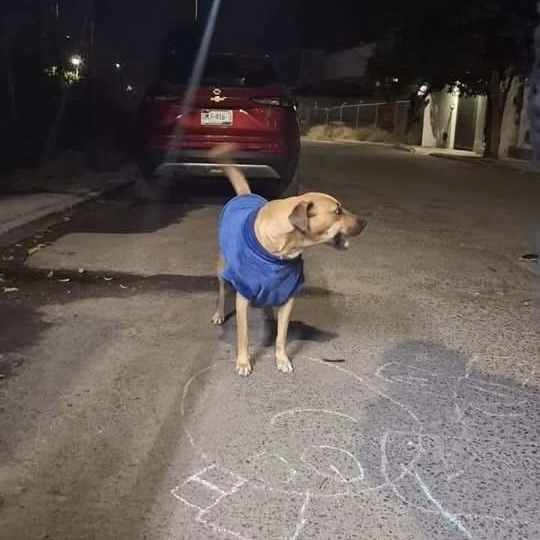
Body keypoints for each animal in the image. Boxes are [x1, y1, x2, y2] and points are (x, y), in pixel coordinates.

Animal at [209, 142, 364, 376]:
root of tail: (245, 195)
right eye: (337, 211)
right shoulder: (243, 297)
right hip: (222, 269)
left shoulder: (288, 294)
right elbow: (243, 336)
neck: (280, 250)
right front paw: (244, 362)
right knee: (220, 292)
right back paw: (219, 313)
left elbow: (281, 336)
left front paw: (282, 359)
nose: (364, 222)